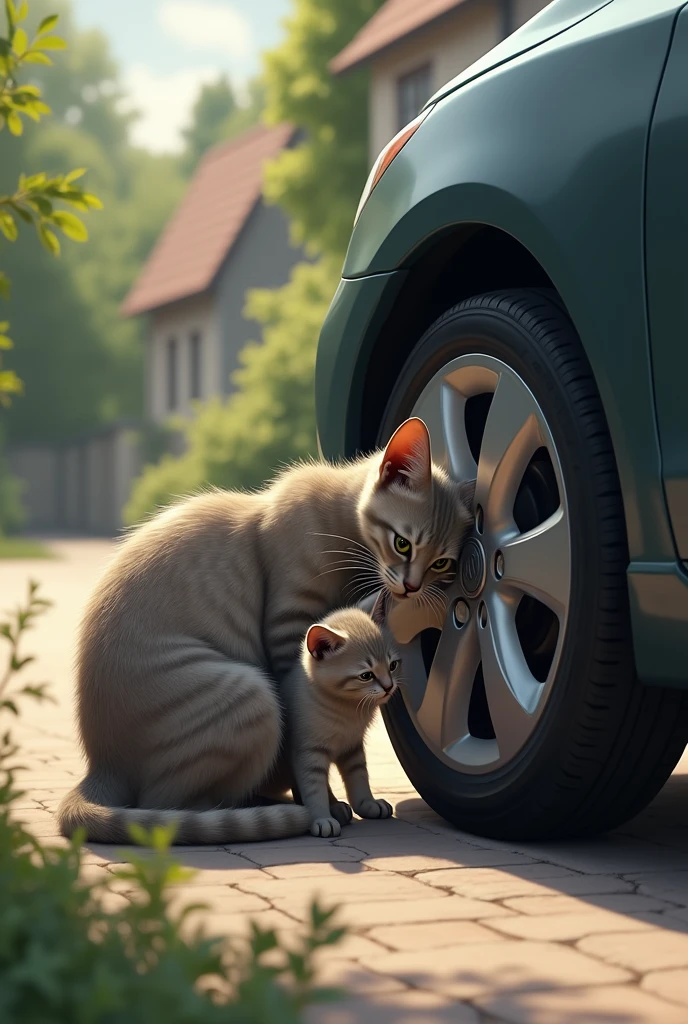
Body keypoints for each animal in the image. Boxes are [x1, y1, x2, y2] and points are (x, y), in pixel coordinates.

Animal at [57, 417, 473, 847]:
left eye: (442, 563)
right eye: (403, 544)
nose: (411, 587)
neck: (341, 533)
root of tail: (101, 765)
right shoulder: (290, 630)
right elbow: (306, 744)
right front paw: (324, 808)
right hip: (252, 694)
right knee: (167, 807)